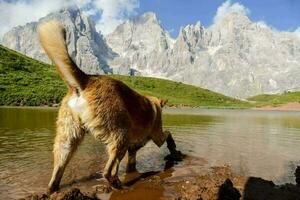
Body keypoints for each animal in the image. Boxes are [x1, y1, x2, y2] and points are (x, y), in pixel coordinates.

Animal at [37, 20, 183, 194]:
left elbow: (131, 163)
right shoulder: (157, 135)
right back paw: (118, 186)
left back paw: (52, 189)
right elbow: (168, 133)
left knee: (57, 173)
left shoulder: (133, 148)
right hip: (120, 135)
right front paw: (174, 148)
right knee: (108, 171)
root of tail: (87, 79)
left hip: (67, 140)